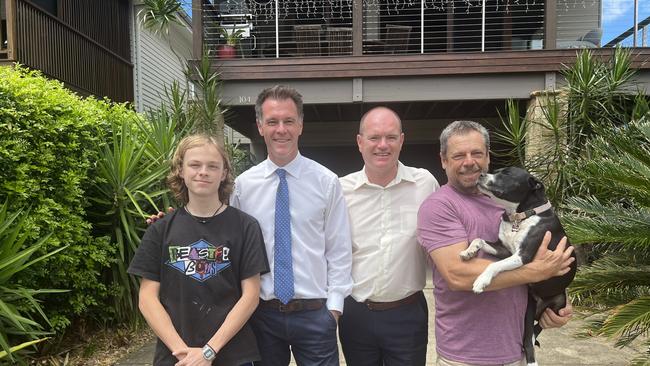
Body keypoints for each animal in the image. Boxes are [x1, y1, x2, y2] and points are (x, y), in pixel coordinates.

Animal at [458, 167, 576, 366]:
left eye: (507, 174)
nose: (480, 174)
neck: (518, 217)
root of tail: (541, 304)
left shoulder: (522, 256)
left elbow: (494, 266)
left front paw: (481, 281)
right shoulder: (505, 250)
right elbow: (479, 239)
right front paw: (469, 251)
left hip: (559, 305)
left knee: (534, 333)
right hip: (528, 309)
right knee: (529, 335)